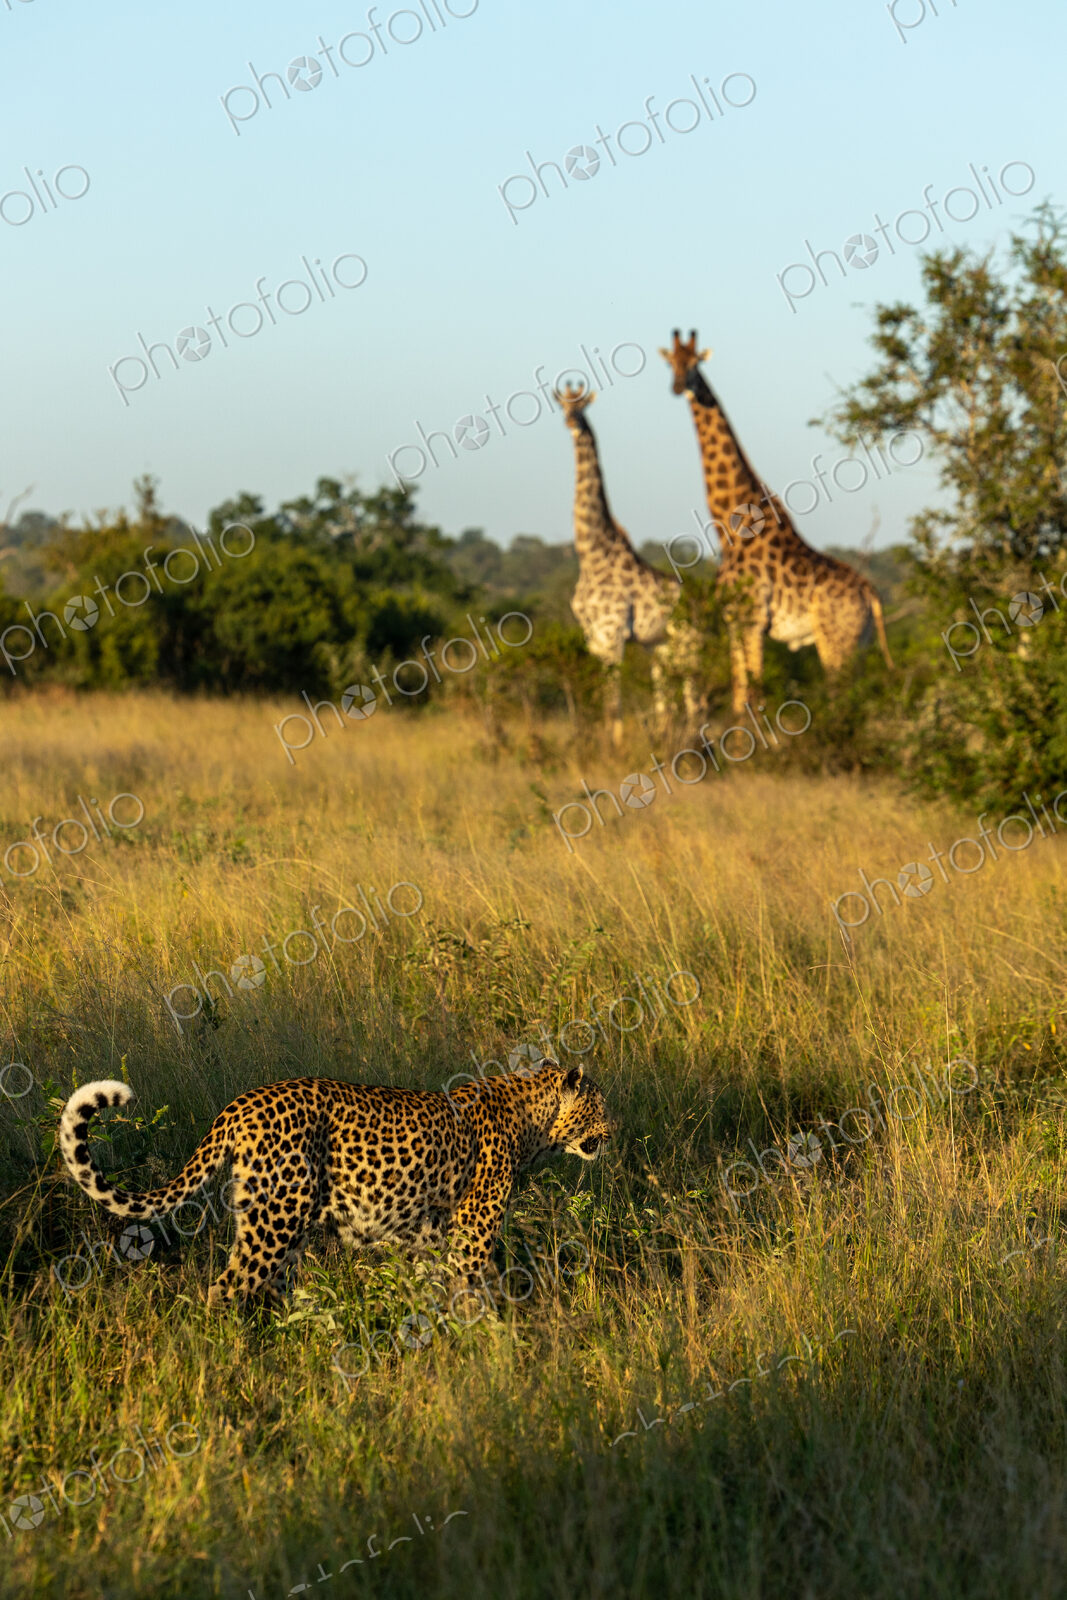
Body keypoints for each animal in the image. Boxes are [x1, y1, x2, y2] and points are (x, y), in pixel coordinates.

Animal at [58, 1059, 615, 1308]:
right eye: (599, 1106)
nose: (613, 1132)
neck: (534, 1126)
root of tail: (240, 1103)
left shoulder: (429, 1238)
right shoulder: (472, 1233)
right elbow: (471, 1291)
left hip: (274, 1222)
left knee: (266, 1285)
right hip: (277, 1220)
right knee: (225, 1287)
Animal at [555, 383, 702, 745]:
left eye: (582, 406)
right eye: (562, 406)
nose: (571, 422)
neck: (592, 555)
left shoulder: (613, 632)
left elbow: (613, 701)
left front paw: (615, 747)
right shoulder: (592, 635)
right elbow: (603, 696)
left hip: (689, 646)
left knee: (695, 698)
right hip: (661, 648)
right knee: (668, 701)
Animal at [660, 330, 893, 714]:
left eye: (694, 363)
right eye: (671, 364)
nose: (679, 386)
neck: (730, 530)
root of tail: (870, 592)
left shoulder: (753, 621)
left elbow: (753, 694)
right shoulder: (734, 623)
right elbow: (740, 694)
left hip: (836, 642)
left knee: (844, 701)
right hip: (858, 642)